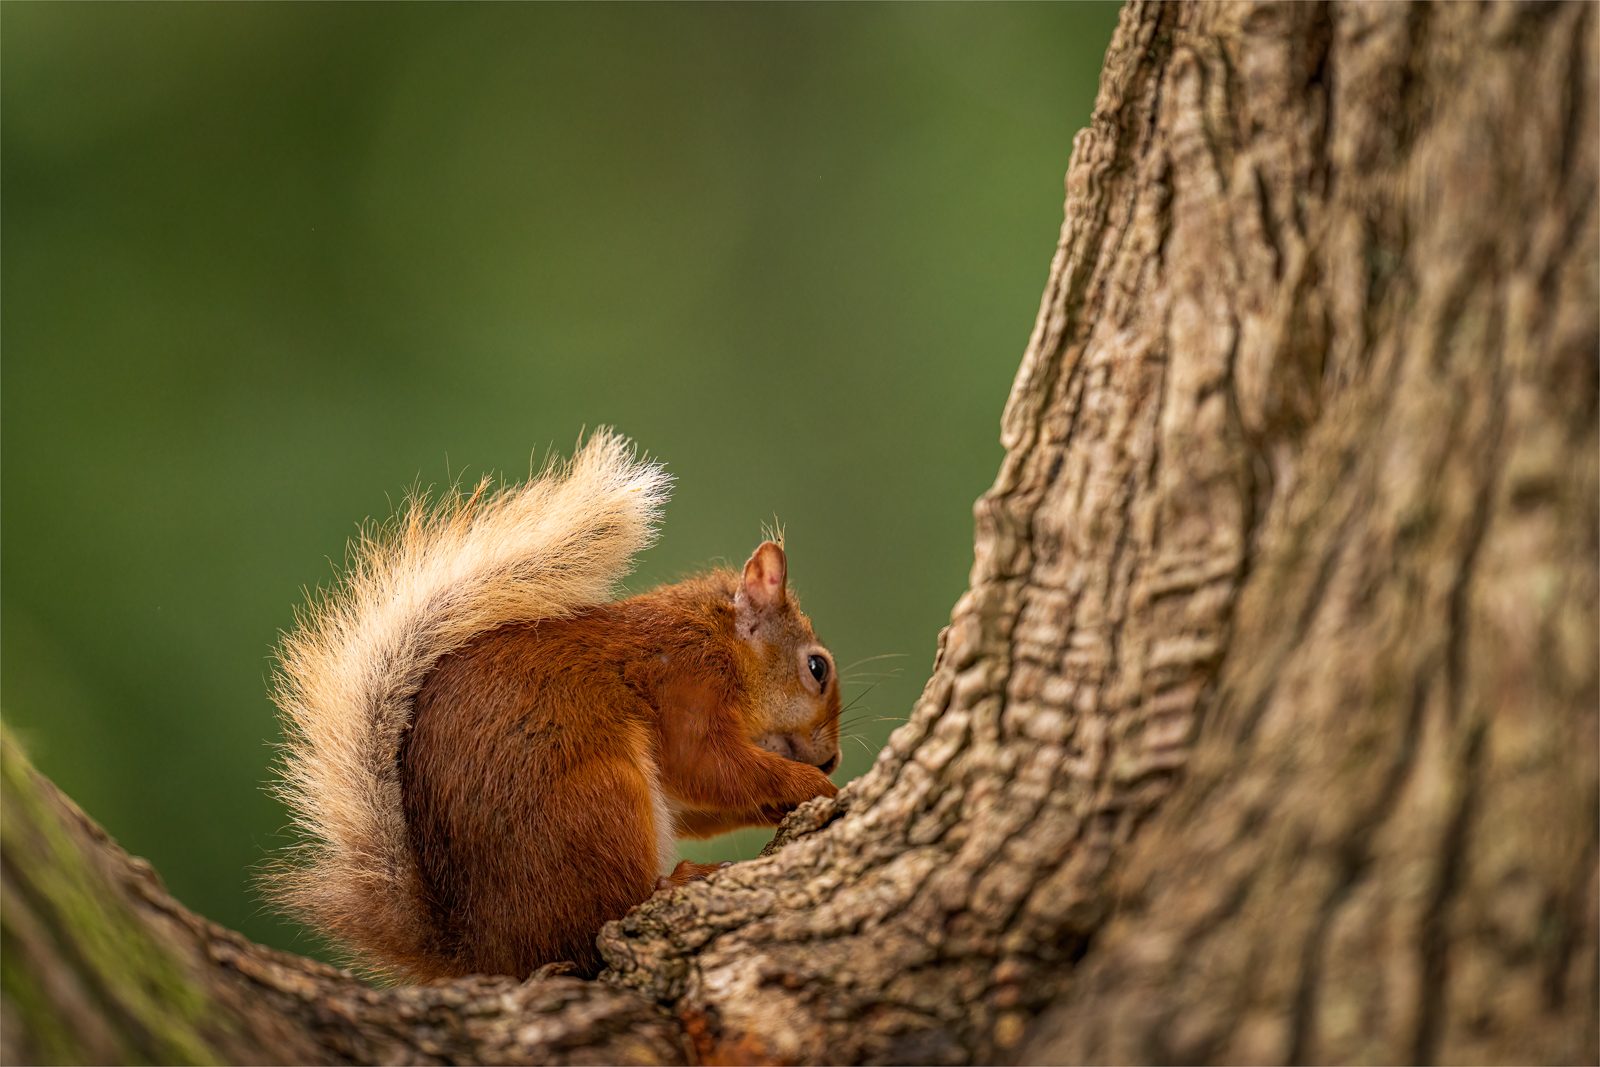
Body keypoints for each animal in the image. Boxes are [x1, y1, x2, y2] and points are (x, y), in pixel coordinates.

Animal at [265, 428, 838, 979]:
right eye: (818, 668)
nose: (832, 759)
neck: (721, 640)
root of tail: (487, 954)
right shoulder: (686, 686)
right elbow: (708, 765)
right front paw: (813, 786)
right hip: (599, 799)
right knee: (603, 922)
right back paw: (676, 882)